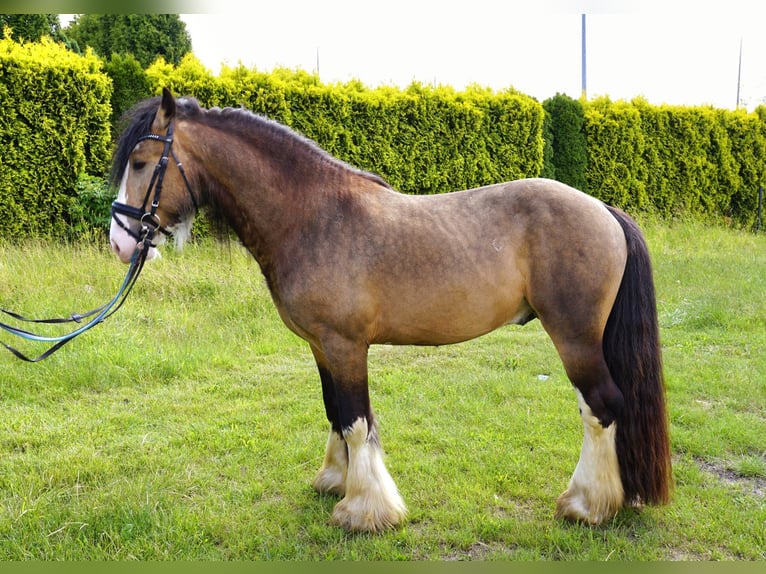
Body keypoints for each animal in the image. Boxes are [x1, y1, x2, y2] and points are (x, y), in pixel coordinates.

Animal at [108, 89, 672, 536]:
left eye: (140, 163)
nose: (119, 241)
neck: (312, 216)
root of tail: (604, 210)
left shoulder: (346, 346)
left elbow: (357, 421)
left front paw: (364, 511)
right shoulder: (322, 347)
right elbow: (335, 414)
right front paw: (335, 481)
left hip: (575, 338)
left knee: (601, 407)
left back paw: (586, 505)